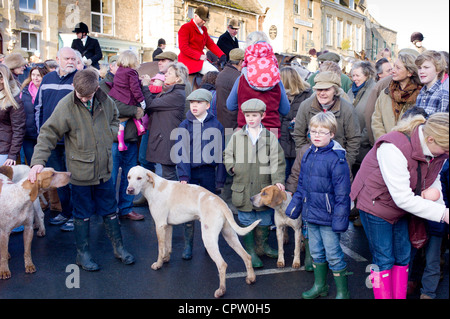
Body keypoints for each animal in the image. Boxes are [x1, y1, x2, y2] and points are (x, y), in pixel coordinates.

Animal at [126, 166, 260, 298]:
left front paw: (158, 264)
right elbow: (167, 247)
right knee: (247, 256)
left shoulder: (159, 225)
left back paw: (221, 290)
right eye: (128, 177)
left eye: (139, 178)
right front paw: (165, 259)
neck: (154, 187)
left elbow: (160, 248)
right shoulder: (167, 226)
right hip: (230, 236)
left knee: (222, 264)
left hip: (208, 238)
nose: (129, 190)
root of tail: (221, 203)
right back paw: (251, 278)